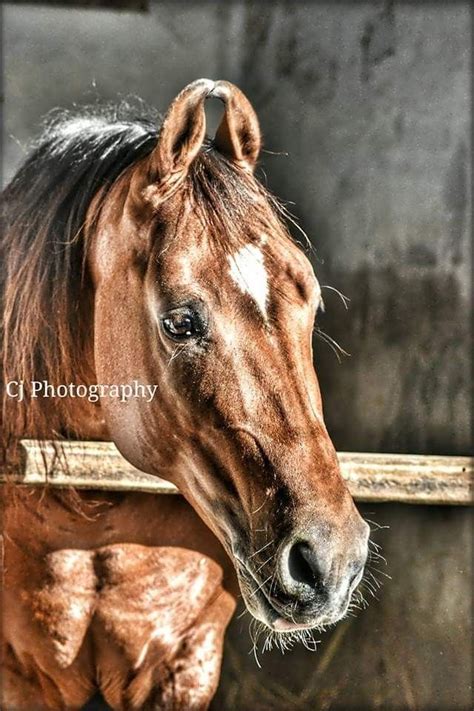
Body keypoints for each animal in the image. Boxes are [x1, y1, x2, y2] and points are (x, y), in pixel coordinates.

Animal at [0, 80, 368, 708]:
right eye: (181, 322)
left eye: (312, 301)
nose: (331, 559)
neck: (97, 517)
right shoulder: (22, 676)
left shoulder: (183, 662)